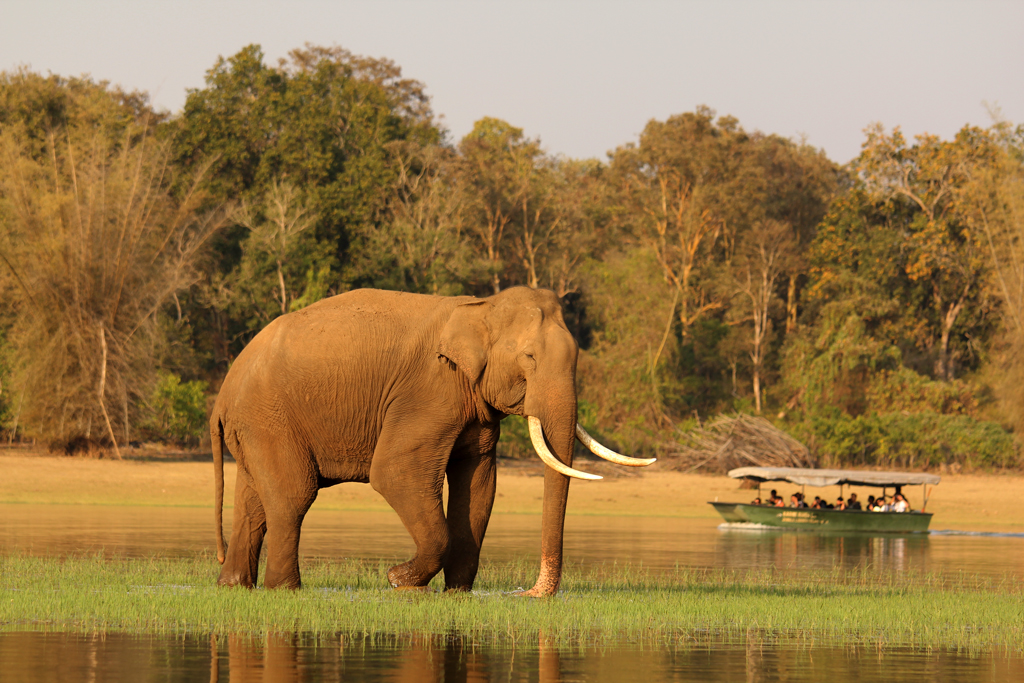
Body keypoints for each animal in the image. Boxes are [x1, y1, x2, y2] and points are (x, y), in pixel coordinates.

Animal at [210, 286, 651, 593]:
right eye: (529, 358)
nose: (528, 594)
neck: (480, 307)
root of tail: (223, 393)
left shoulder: (471, 402)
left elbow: (479, 483)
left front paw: (456, 592)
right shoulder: (427, 391)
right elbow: (394, 472)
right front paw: (398, 580)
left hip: (256, 425)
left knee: (254, 501)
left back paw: (234, 585)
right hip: (269, 417)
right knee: (293, 496)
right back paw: (285, 589)